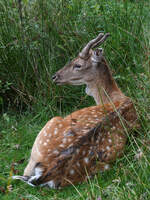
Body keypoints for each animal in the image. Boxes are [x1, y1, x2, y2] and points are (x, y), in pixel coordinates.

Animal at [12, 32, 139, 188]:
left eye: (78, 65)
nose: (54, 76)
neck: (115, 97)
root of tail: (47, 171)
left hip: (49, 126)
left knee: (25, 171)